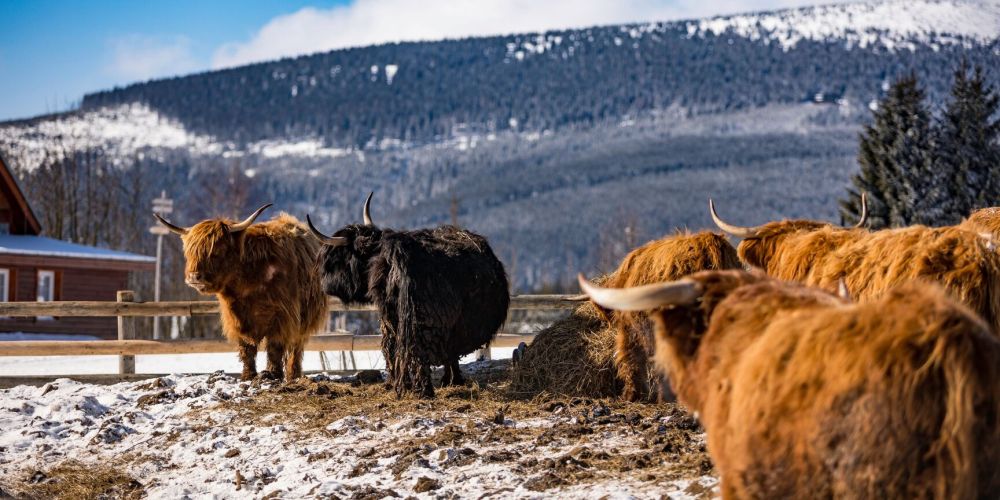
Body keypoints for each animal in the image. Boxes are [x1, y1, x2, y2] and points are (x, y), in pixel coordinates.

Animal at [154, 205, 328, 382]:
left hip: (306, 318)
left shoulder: (283, 315)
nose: (194, 276)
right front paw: (248, 375)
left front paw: (272, 374)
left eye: (217, 250)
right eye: (190, 252)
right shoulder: (236, 318)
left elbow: (275, 347)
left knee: (296, 347)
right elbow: (246, 348)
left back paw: (294, 375)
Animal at [307, 193, 509, 398]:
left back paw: (416, 388)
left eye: (336, 258)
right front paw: (451, 380)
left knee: (406, 352)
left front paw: (452, 380)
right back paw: (416, 388)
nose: (324, 284)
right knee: (406, 351)